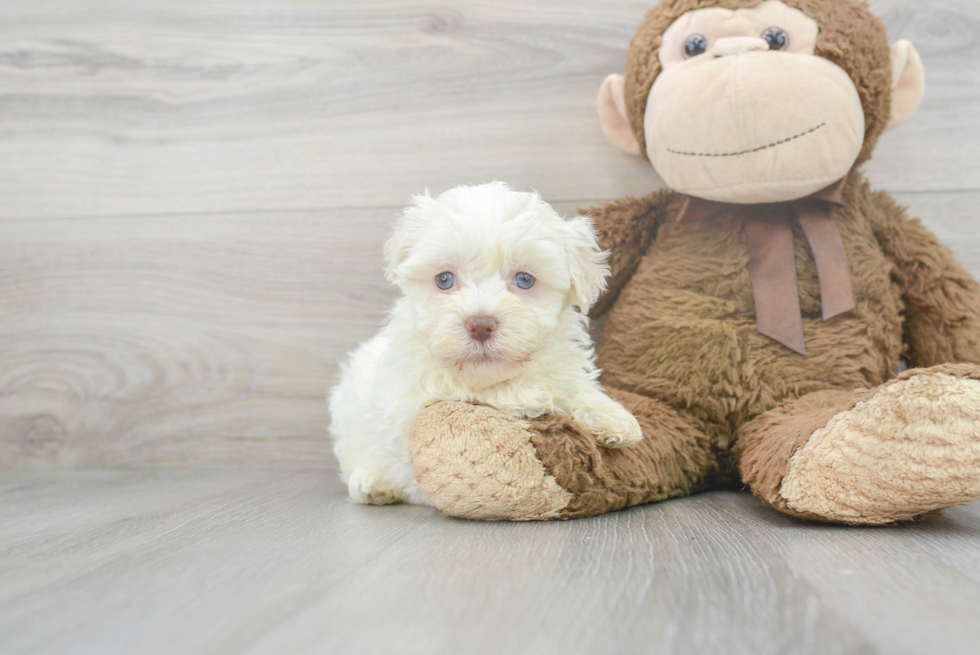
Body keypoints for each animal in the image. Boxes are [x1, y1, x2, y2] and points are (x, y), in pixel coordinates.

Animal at [330, 182, 644, 504]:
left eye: (525, 280)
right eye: (444, 280)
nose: (480, 325)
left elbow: (573, 386)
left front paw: (611, 417)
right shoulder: (413, 400)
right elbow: (466, 393)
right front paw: (530, 396)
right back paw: (372, 483)